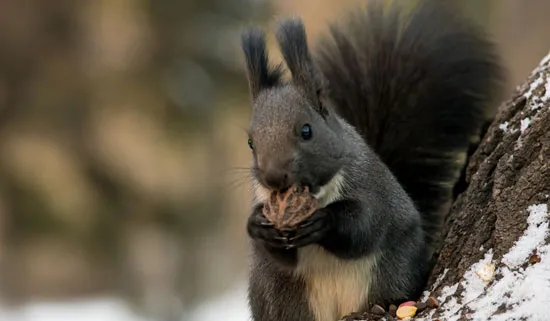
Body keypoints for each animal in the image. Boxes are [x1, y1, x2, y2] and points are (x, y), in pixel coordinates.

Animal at [240, 0, 504, 320]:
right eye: (251, 142)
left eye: (306, 130)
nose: (273, 177)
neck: (318, 193)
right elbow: (282, 257)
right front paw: (257, 225)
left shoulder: (370, 186)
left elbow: (365, 226)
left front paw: (325, 220)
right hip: (281, 295)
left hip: (391, 271)